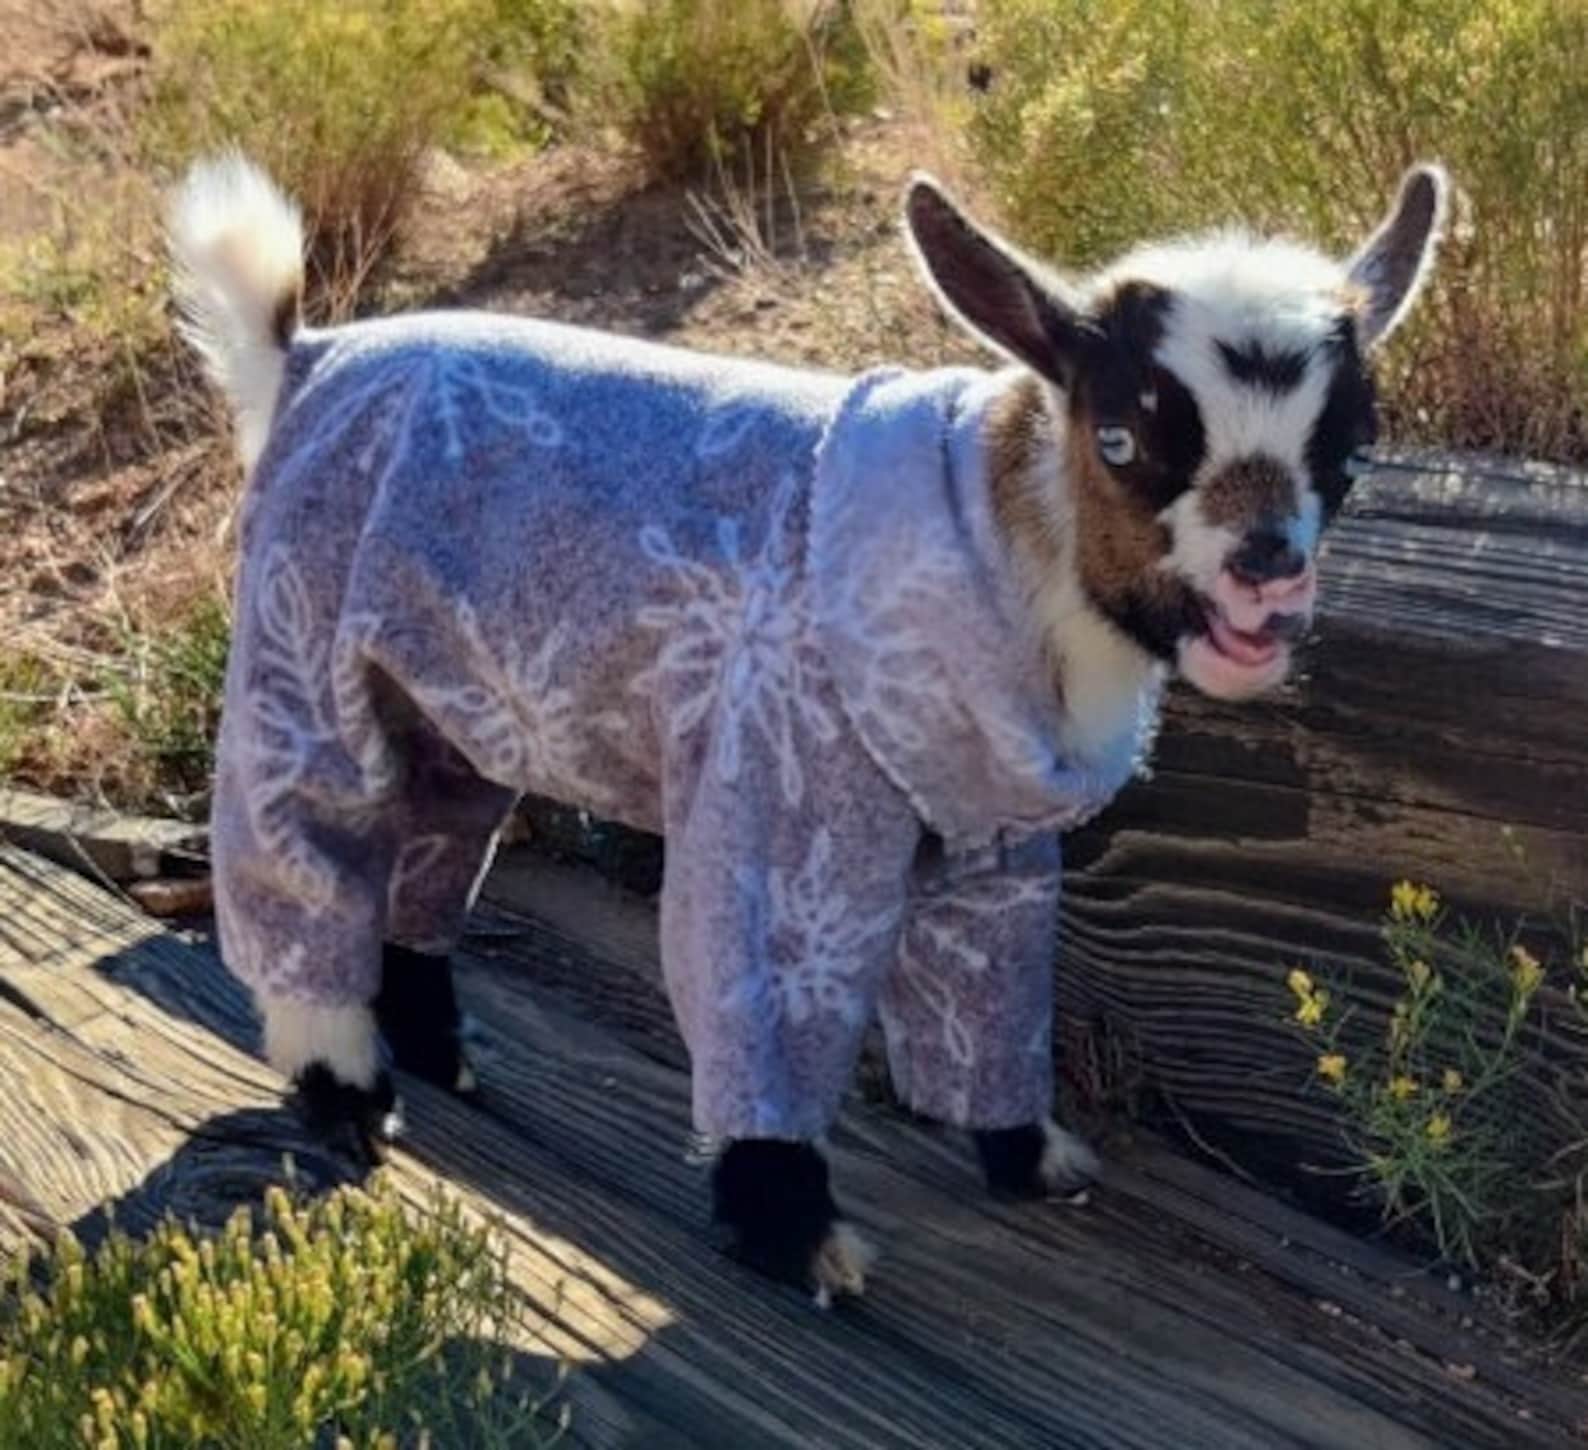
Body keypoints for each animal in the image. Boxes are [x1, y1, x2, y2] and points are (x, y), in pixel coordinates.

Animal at [170, 153, 1445, 1305]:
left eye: (1351, 449)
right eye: (1123, 441)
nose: (1266, 568)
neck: (1004, 538)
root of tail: (307, 358)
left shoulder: (991, 840)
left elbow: (991, 1003)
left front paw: (1030, 1155)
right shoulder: (774, 810)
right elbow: (764, 1008)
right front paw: (794, 1236)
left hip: (454, 700)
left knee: (430, 846)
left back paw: (441, 1054)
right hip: (303, 646)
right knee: (305, 845)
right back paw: (345, 1089)